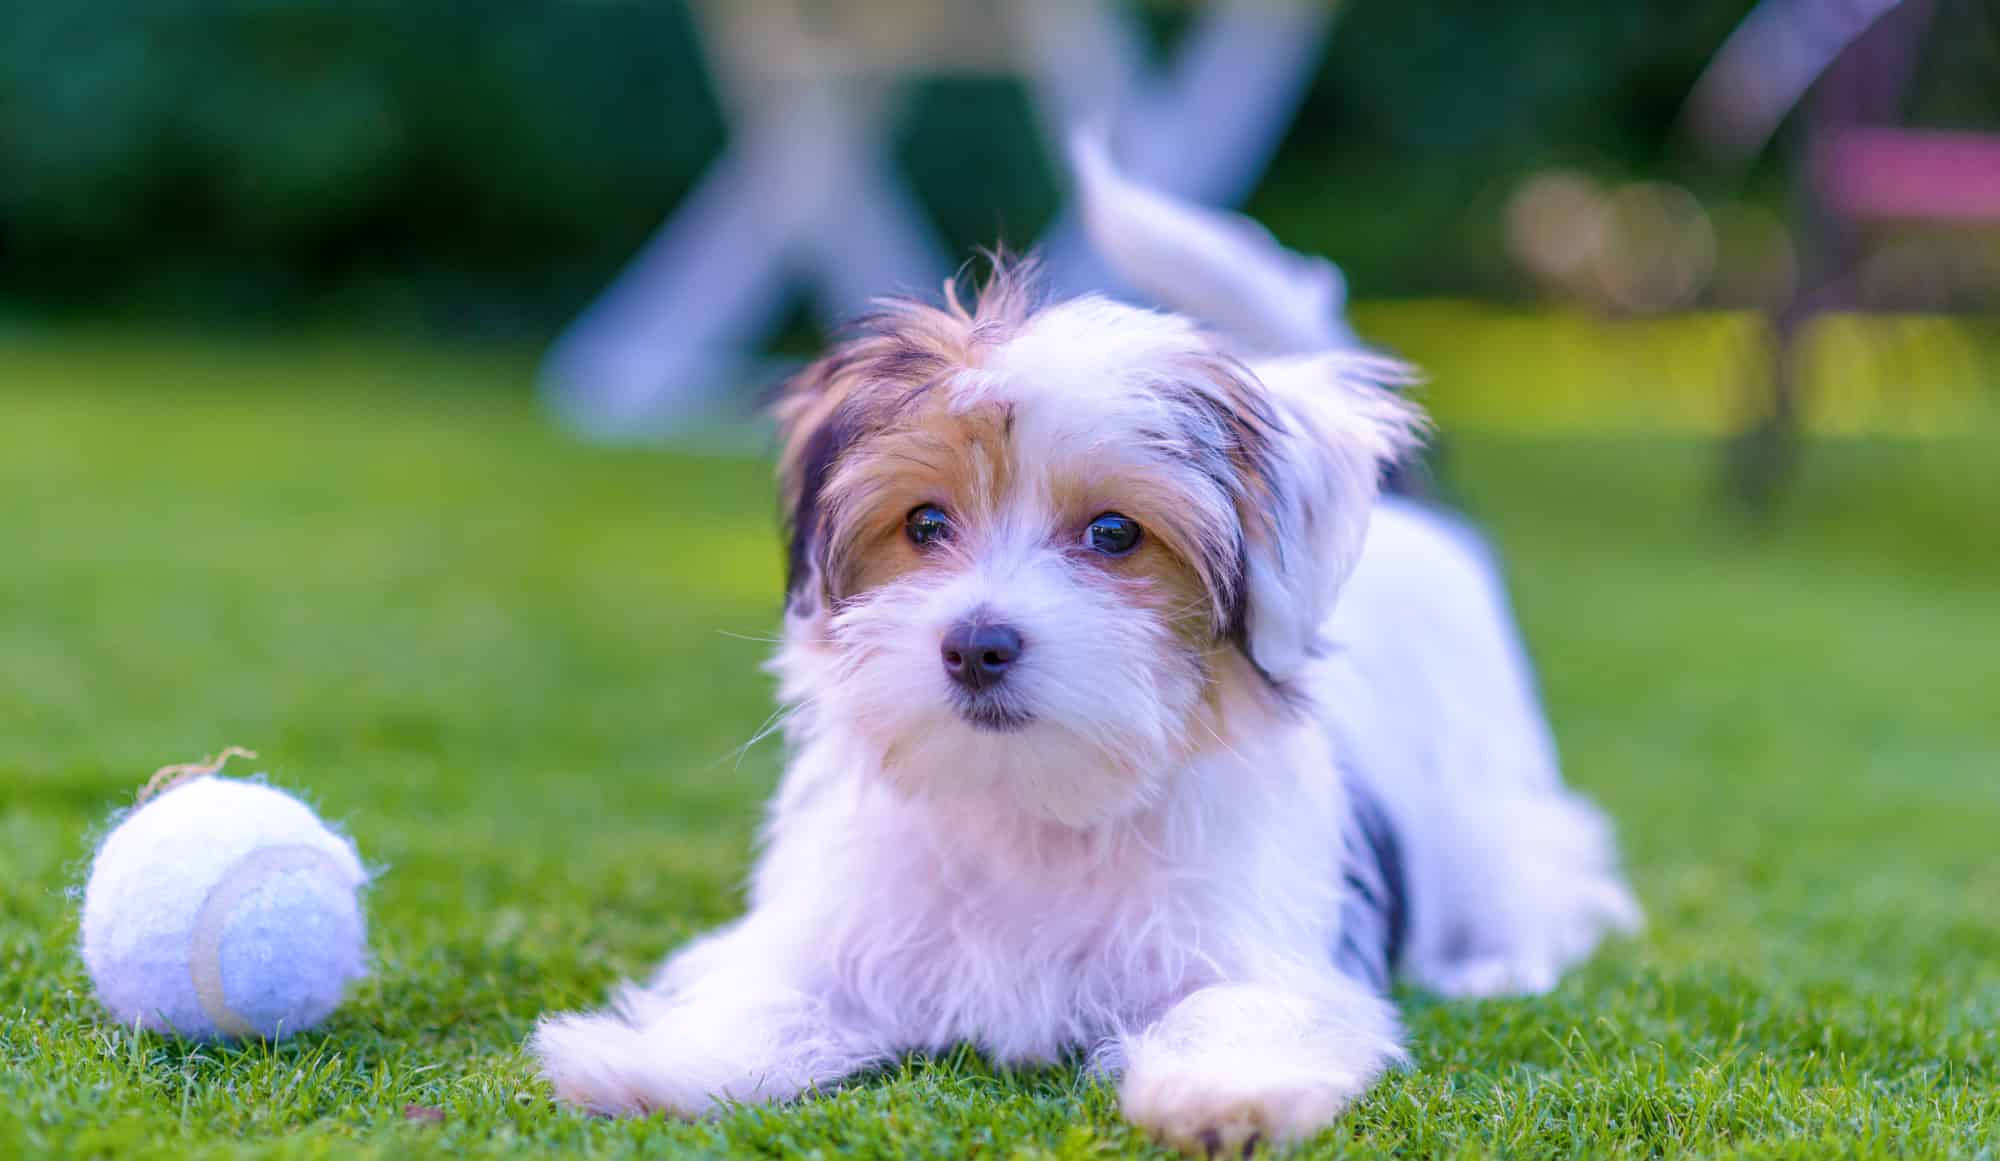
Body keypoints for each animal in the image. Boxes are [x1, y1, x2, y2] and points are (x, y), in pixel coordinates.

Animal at [536, 136, 1640, 1152]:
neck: (1032, 804)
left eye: (1114, 533)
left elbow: (1237, 1005)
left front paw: (1221, 1090)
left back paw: (1497, 961)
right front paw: (651, 1062)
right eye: (924, 523)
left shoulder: (1258, 946)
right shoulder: (835, 924)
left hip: (1486, 792)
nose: (976, 645)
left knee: (1540, 865)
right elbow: (765, 992)